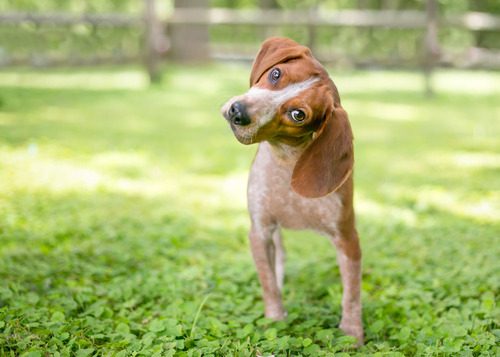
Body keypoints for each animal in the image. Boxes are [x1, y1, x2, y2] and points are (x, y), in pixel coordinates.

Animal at [220, 37, 364, 344]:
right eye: (276, 74)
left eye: (298, 114)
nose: (238, 111)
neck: (286, 163)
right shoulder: (260, 230)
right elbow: (269, 283)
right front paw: (275, 319)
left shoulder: (347, 238)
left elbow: (352, 293)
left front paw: (352, 332)